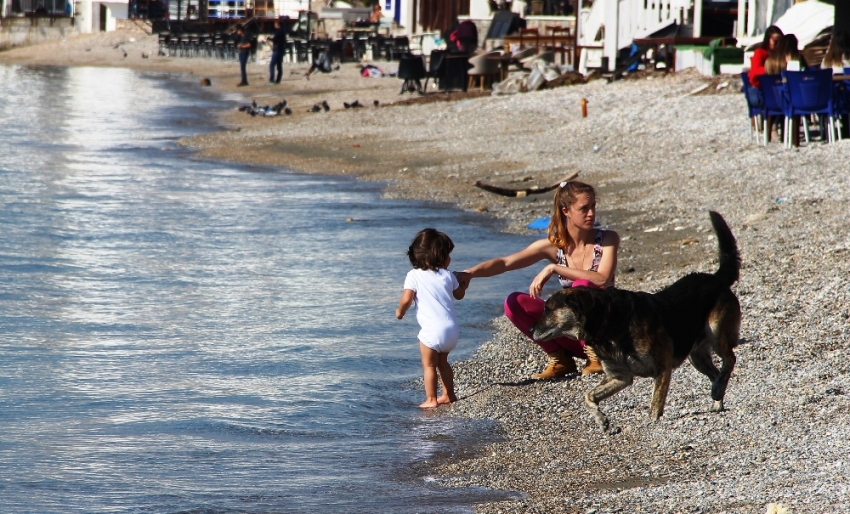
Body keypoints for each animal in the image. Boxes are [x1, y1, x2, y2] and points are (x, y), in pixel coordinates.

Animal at [528, 210, 744, 430]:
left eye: (548, 309)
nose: (530, 330)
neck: (608, 322)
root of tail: (716, 278)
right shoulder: (620, 376)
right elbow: (589, 396)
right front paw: (601, 419)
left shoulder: (662, 368)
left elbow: (655, 404)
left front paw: (652, 423)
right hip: (696, 355)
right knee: (716, 372)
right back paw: (717, 397)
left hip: (716, 332)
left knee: (730, 359)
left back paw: (718, 390)